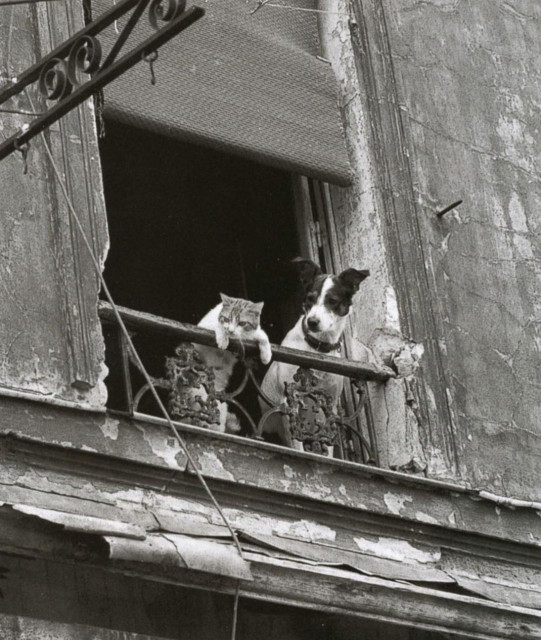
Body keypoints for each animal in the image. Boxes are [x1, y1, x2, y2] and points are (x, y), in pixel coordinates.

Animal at [193, 292, 270, 432]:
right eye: (227, 319)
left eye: (242, 323)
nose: (231, 331)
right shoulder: (202, 328)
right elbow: (217, 327)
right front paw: (223, 338)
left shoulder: (251, 333)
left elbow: (261, 335)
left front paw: (267, 354)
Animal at [260, 258, 370, 448]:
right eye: (310, 299)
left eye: (332, 301)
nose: (312, 322)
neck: (317, 349)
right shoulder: (289, 400)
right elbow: (297, 443)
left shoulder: (329, 406)